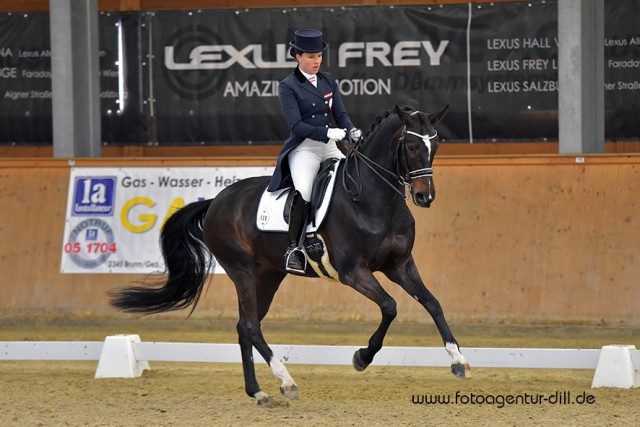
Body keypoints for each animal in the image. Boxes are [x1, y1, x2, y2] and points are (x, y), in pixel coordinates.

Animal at [109, 103, 470, 404]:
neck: (374, 199)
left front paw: (458, 359)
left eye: (435, 146)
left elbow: (432, 303)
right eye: (411, 146)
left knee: (244, 326)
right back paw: (286, 382)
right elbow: (390, 307)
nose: (425, 197)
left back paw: (257, 391)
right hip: (241, 270)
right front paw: (361, 358)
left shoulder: (400, 265)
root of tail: (216, 202)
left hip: (268, 275)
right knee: (251, 325)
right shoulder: (353, 271)